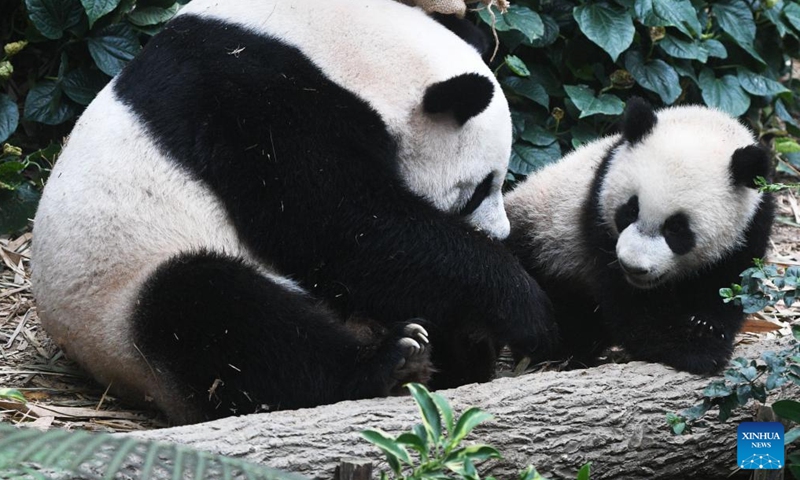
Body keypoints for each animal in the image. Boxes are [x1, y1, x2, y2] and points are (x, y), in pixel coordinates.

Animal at [31, 0, 556, 424]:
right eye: (480, 189)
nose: (501, 233)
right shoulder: (250, 102)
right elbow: (339, 225)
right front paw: (521, 304)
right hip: (124, 301)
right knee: (217, 315)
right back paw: (392, 361)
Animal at [506, 98, 776, 376]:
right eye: (631, 210)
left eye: (676, 228)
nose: (632, 266)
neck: (709, 125)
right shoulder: (597, 216)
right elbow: (633, 308)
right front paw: (696, 349)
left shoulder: (751, 224)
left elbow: (729, 283)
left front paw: (705, 328)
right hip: (543, 239)